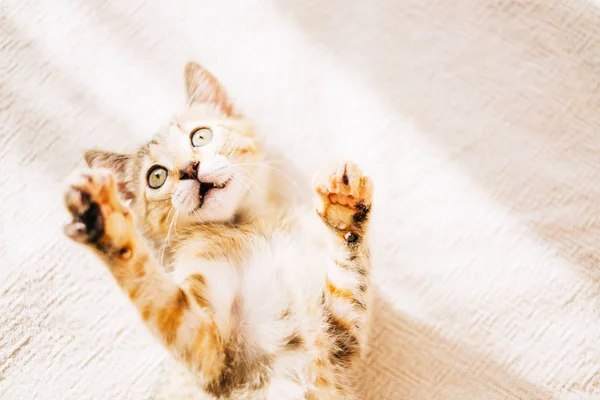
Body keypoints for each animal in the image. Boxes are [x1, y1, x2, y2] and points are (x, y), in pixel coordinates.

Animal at [64, 62, 376, 400]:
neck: (246, 227)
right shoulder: (211, 356)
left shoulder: (341, 337)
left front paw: (343, 211)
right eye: (156, 177)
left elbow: (350, 277)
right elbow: (159, 296)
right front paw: (106, 224)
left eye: (200, 136)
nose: (189, 169)